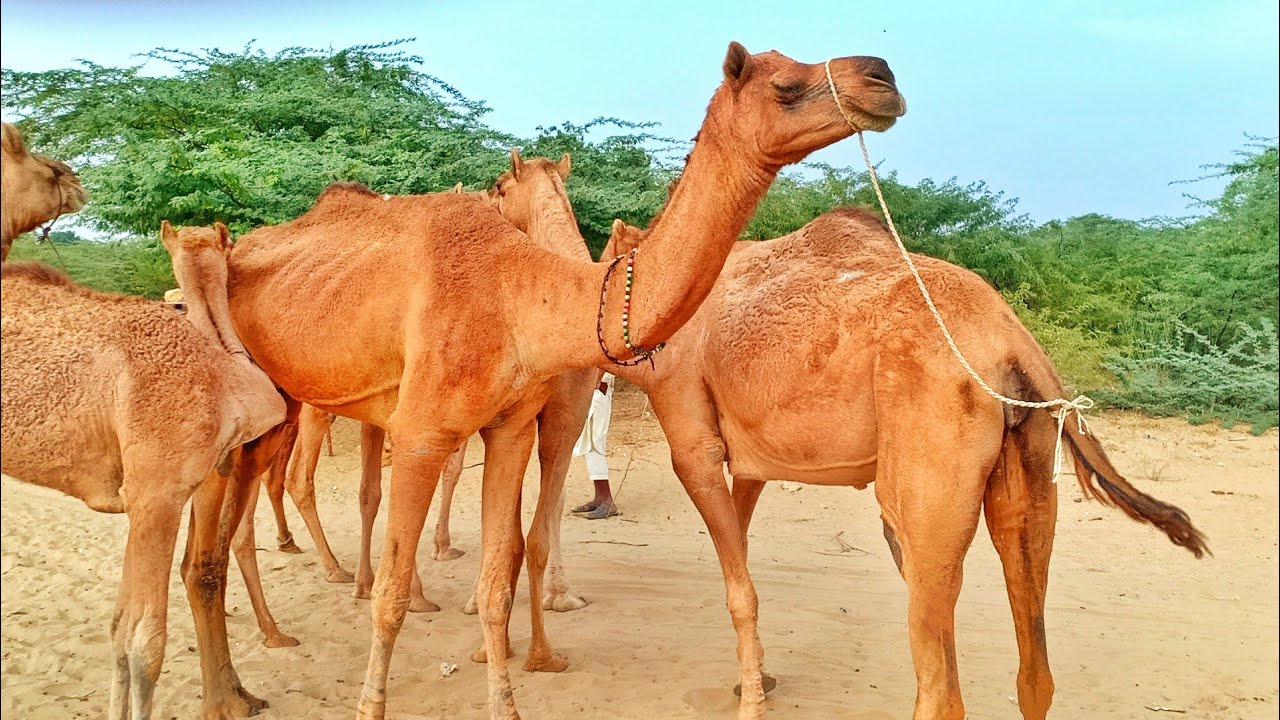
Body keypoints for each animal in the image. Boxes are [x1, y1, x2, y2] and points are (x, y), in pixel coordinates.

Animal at [221, 43, 905, 720]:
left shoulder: (520, 424)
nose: (883, 77)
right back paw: (288, 628)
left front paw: (523, 666)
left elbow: (509, 559)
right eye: (786, 85)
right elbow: (411, 581)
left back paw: (264, 653)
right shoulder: (423, 431)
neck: (523, 294)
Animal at [600, 212, 1208, 720]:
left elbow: (734, 574)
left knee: (934, 647)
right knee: (1032, 660)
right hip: (1033, 452)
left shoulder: (688, 424)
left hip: (929, 436)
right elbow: (742, 546)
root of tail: (1017, 348)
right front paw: (757, 682)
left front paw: (750, 702)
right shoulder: (752, 452)